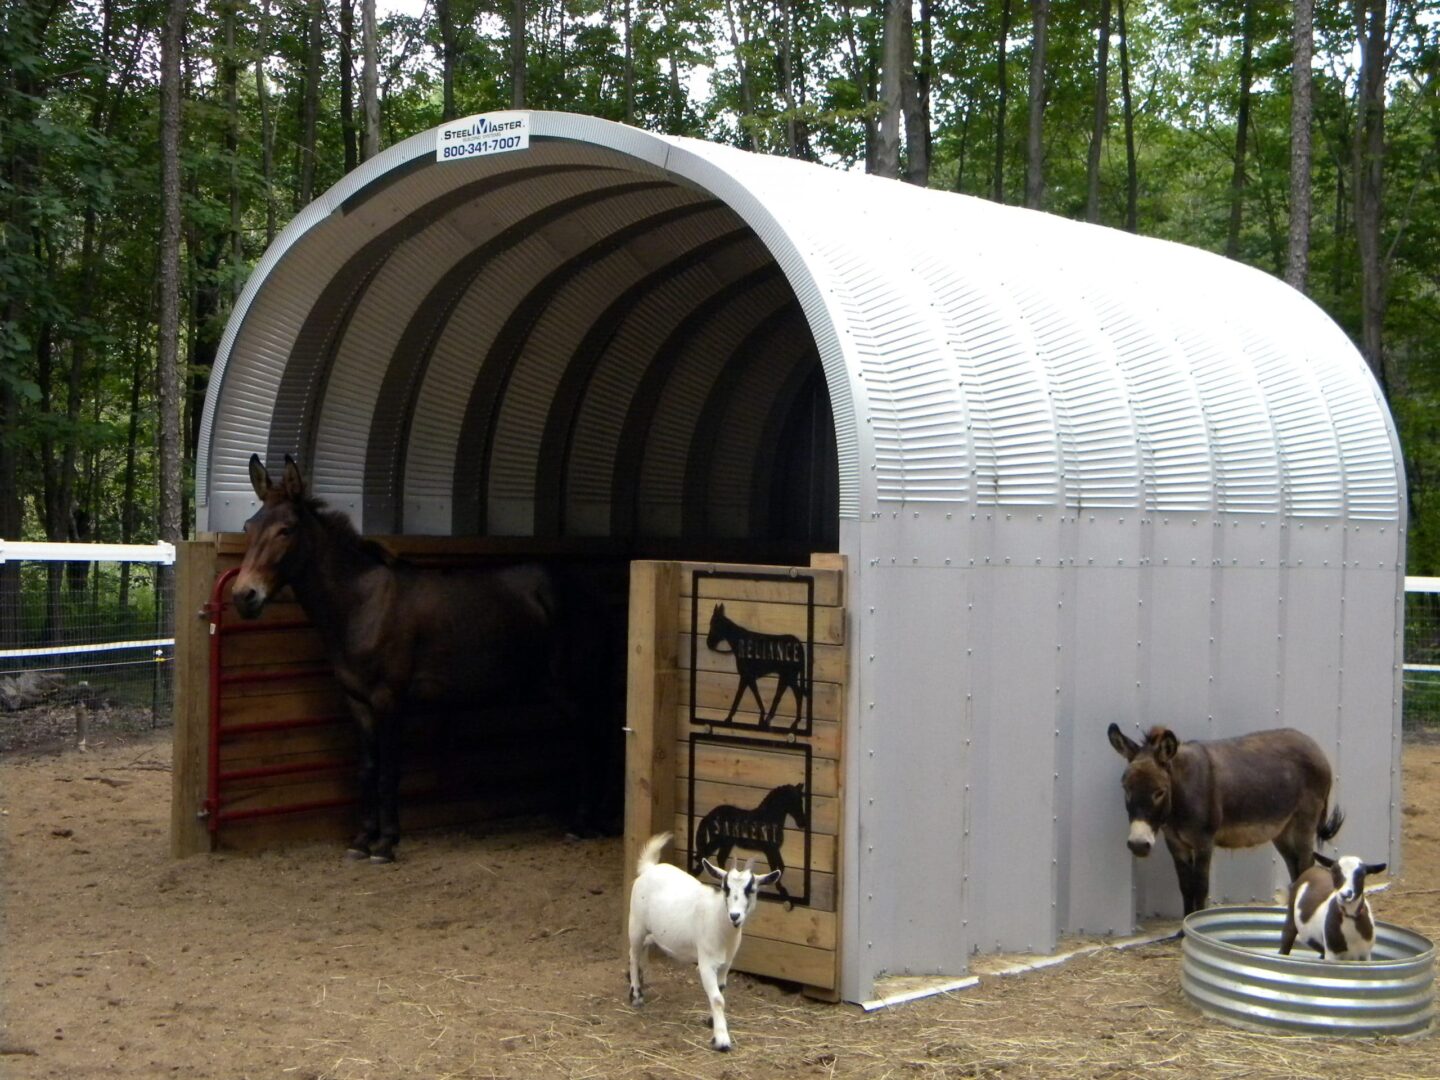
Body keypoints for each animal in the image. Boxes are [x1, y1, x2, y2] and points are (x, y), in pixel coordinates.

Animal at [627, 835, 783, 1054]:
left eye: (751, 889)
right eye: (726, 888)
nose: (735, 916)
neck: (719, 921)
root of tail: (649, 868)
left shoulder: (726, 964)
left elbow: (721, 990)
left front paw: (712, 1021)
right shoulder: (706, 962)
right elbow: (717, 998)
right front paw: (722, 1039)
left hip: (654, 931)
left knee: (644, 949)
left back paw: (641, 980)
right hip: (636, 924)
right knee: (633, 953)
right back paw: (636, 994)